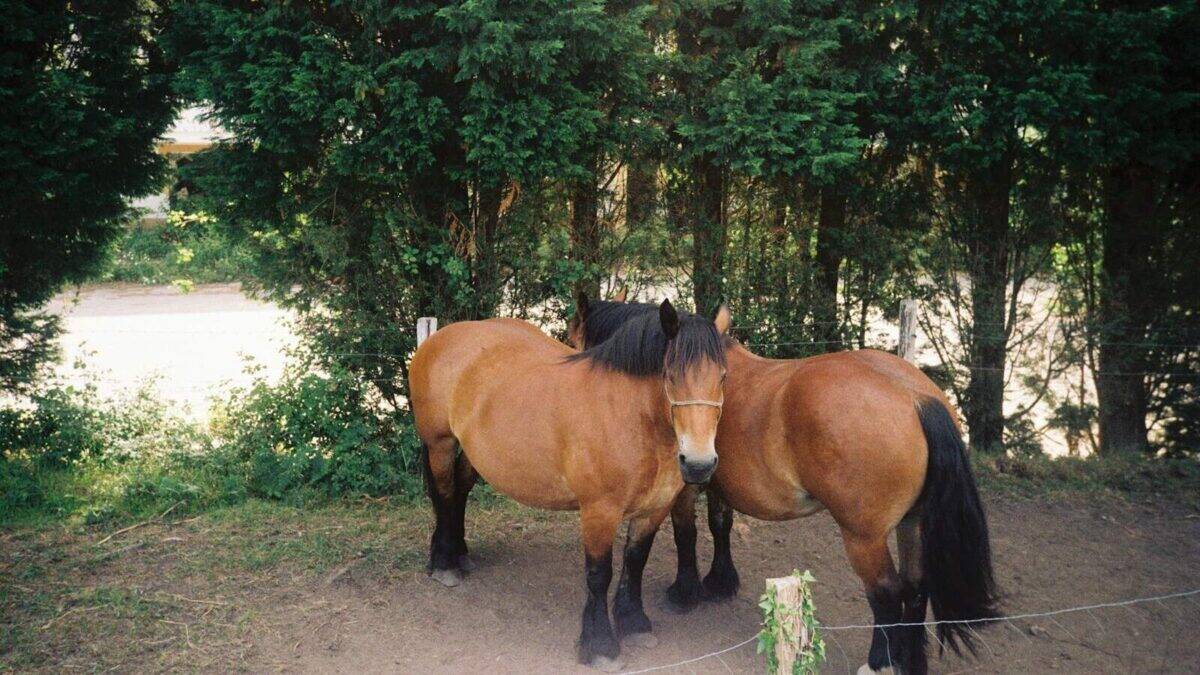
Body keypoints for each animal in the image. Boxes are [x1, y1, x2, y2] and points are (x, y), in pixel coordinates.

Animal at [408, 301, 732, 670]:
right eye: (670, 375)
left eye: (722, 376)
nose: (699, 464)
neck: (630, 417)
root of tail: (440, 338)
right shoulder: (599, 512)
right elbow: (599, 574)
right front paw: (600, 644)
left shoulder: (654, 508)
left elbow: (635, 561)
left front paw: (634, 624)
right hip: (441, 444)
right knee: (445, 495)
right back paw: (444, 564)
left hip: (474, 453)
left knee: (459, 493)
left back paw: (459, 555)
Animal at [568, 296, 999, 675]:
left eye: (574, 340)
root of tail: (916, 397)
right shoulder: (717, 483)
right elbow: (720, 526)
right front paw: (719, 582)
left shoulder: (686, 485)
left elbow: (685, 533)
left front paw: (685, 591)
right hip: (913, 523)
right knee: (916, 588)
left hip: (865, 537)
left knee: (887, 592)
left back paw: (880, 663)